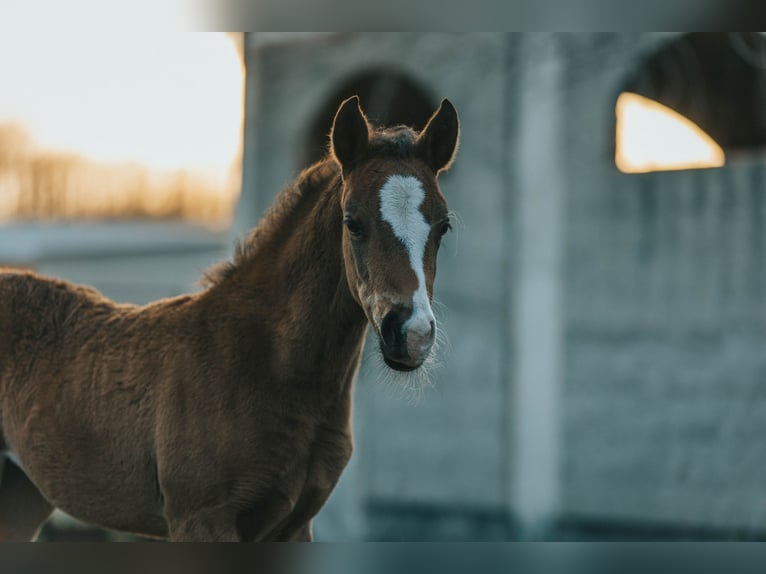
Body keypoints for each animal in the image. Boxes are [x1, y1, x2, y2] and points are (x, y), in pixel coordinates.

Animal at [0, 95, 459, 541]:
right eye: (353, 222)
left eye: (443, 227)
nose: (412, 334)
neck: (265, 365)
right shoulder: (200, 520)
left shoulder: (295, 527)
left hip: (23, 495)